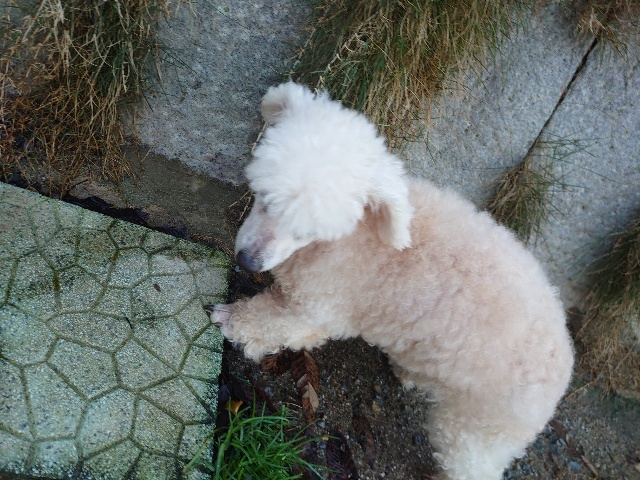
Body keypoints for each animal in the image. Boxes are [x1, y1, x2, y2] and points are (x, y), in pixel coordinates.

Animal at [208, 82, 574, 479]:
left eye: (306, 231)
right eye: (264, 197)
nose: (247, 261)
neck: (354, 234)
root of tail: (563, 365)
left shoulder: (316, 310)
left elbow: (270, 322)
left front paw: (231, 319)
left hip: (475, 430)